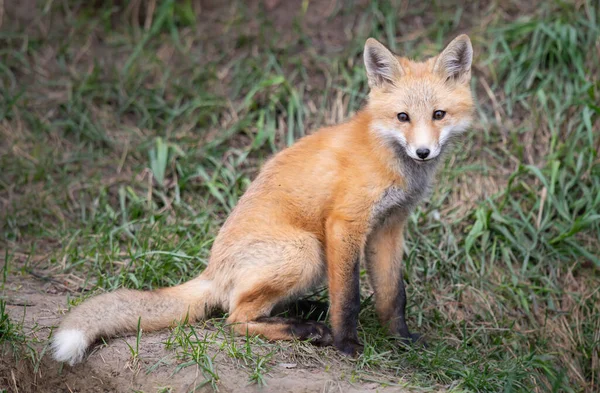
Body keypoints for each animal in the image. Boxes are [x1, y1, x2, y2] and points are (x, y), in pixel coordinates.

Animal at [51, 35, 474, 362]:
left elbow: (392, 296)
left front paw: (401, 340)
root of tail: (212, 271)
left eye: (438, 114)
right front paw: (347, 345)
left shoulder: (388, 227)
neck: (387, 156)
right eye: (403, 117)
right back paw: (307, 329)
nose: (423, 152)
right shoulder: (346, 224)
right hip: (307, 251)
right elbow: (349, 298)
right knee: (234, 318)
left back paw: (307, 311)